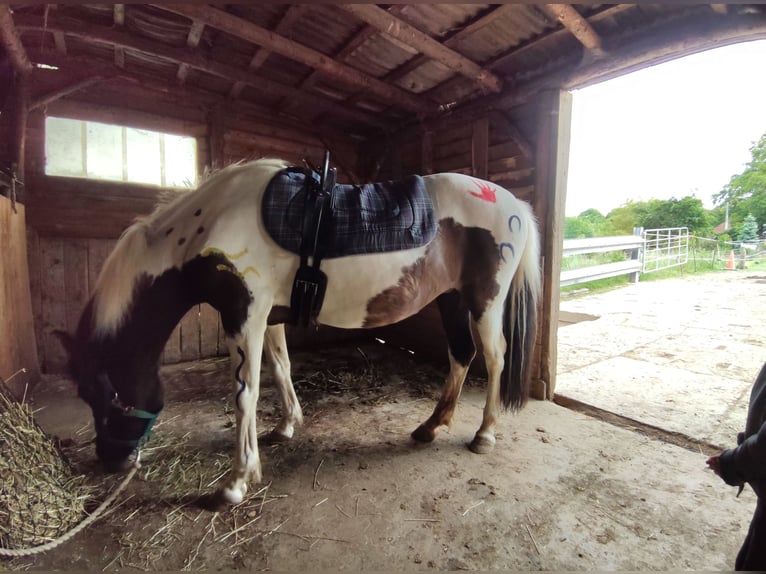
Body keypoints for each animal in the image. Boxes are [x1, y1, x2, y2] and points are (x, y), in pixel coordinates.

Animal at [57, 159, 544, 508]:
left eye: (107, 395)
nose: (110, 460)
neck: (211, 225)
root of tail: (515, 205)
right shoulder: (267, 317)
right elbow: (280, 370)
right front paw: (286, 426)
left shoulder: (244, 315)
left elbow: (245, 393)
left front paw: (237, 482)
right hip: (452, 299)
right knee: (461, 354)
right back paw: (430, 426)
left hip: (485, 302)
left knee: (494, 358)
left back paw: (484, 434)